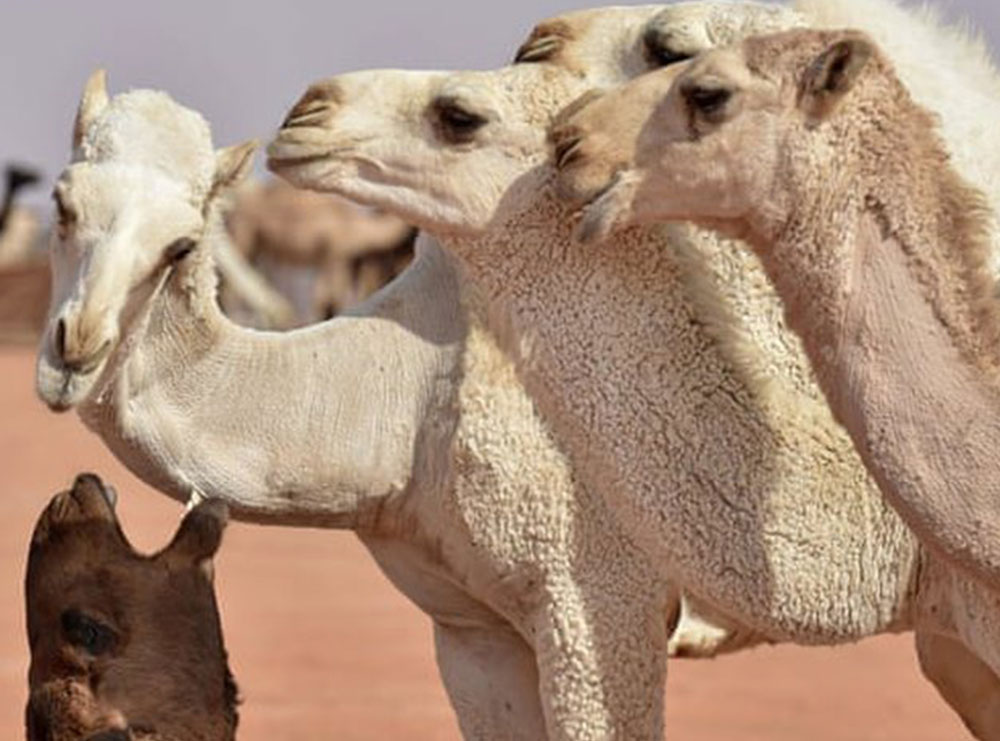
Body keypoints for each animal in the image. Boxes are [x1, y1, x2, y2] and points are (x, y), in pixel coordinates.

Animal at [224, 178, 414, 320]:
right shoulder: (334, 256)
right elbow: (330, 299)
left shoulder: (331, 260)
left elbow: (325, 299)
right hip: (243, 232)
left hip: (257, 245)